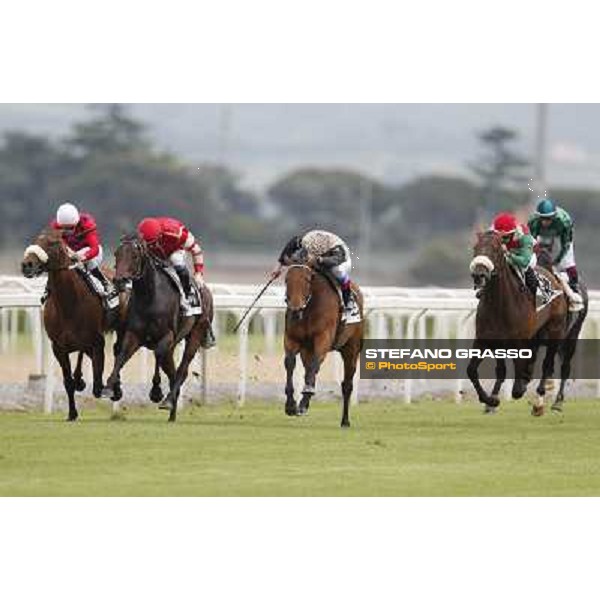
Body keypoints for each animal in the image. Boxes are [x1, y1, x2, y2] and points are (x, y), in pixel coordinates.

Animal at [21, 229, 112, 422]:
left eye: (53, 243)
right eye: (36, 239)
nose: (27, 265)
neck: (68, 303)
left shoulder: (96, 341)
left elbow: (97, 378)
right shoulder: (58, 347)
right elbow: (68, 381)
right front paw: (72, 413)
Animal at [102, 234, 213, 422]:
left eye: (135, 256)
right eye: (117, 254)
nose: (119, 280)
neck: (150, 296)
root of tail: (205, 290)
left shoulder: (166, 336)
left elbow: (159, 355)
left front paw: (157, 392)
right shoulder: (134, 334)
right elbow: (122, 355)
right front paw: (110, 387)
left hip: (195, 335)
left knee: (181, 368)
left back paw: (168, 400)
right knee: (173, 370)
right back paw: (172, 412)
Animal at [282, 264, 360, 426]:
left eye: (307, 280)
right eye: (286, 280)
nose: (295, 309)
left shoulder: (323, 339)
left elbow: (314, 366)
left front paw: (304, 399)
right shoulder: (291, 340)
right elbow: (290, 364)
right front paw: (291, 404)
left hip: (352, 349)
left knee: (347, 385)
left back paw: (345, 420)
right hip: (307, 350)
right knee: (307, 370)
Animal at [468, 231, 568, 418]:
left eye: (496, 249)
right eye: (475, 248)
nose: (479, 275)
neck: (500, 305)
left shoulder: (519, 341)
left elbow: (518, 378)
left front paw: (519, 388)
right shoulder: (485, 339)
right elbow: (473, 370)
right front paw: (491, 400)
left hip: (555, 330)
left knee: (547, 365)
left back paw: (539, 403)